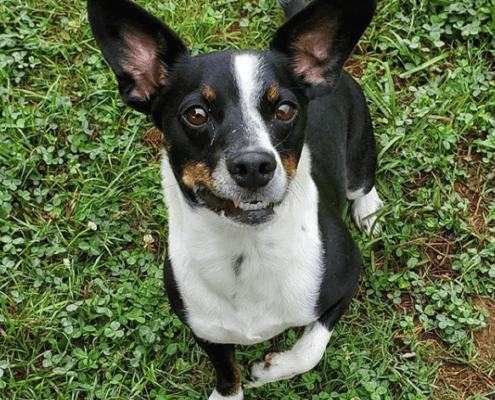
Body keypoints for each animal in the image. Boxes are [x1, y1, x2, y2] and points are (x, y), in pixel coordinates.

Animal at [89, 0, 384, 396]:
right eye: (196, 114)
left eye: (285, 109)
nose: (254, 165)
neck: (246, 250)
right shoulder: (204, 328)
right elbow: (227, 370)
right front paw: (228, 393)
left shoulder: (346, 282)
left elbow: (310, 349)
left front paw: (271, 369)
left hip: (360, 152)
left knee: (361, 184)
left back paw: (369, 212)